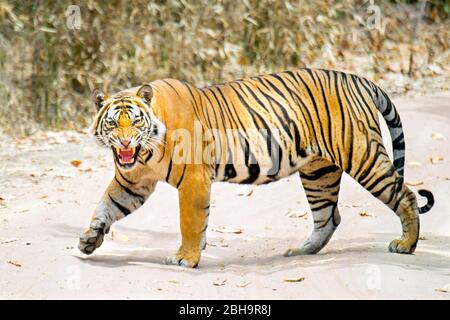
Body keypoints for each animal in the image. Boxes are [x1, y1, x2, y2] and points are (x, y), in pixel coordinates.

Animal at [79, 67, 434, 268]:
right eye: (113, 124)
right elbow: (106, 206)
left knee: (404, 195)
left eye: (135, 122)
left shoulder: (193, 179)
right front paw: (90, 239)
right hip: (318, 171)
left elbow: (190, 222)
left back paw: (406, 245)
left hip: (362, 155)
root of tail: (357, 78)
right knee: (328, 216)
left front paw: (186, 258)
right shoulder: (132, 182)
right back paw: (301, 251)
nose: (125, 142)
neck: (145, 153)